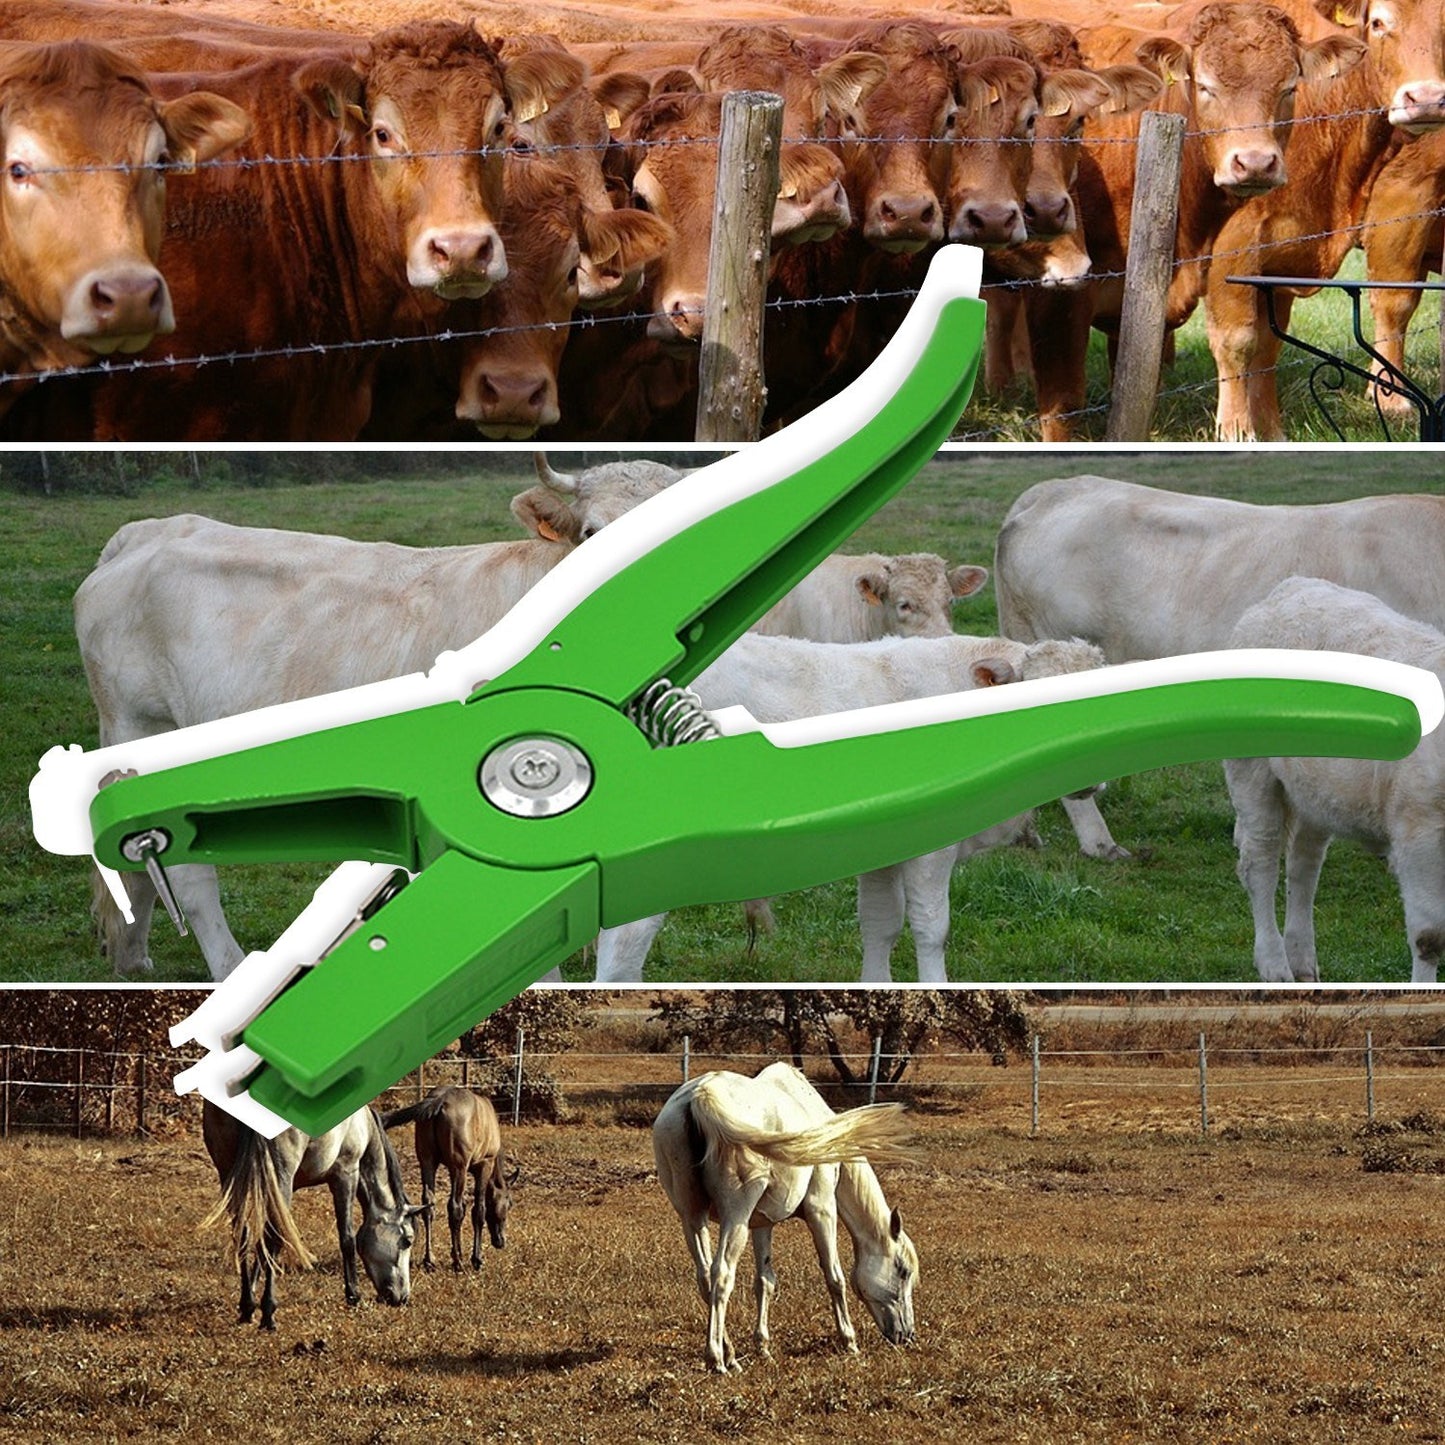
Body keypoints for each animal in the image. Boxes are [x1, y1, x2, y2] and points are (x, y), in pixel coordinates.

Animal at [1226, 578, 1445, 981]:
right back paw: (1275, 964)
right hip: (1252, 771)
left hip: (1317, 792)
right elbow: (1429, 935)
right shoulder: (1418, 828)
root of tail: (1292, 586)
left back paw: (1302, 961)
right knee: (1260, 861)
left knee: (1303, 866)